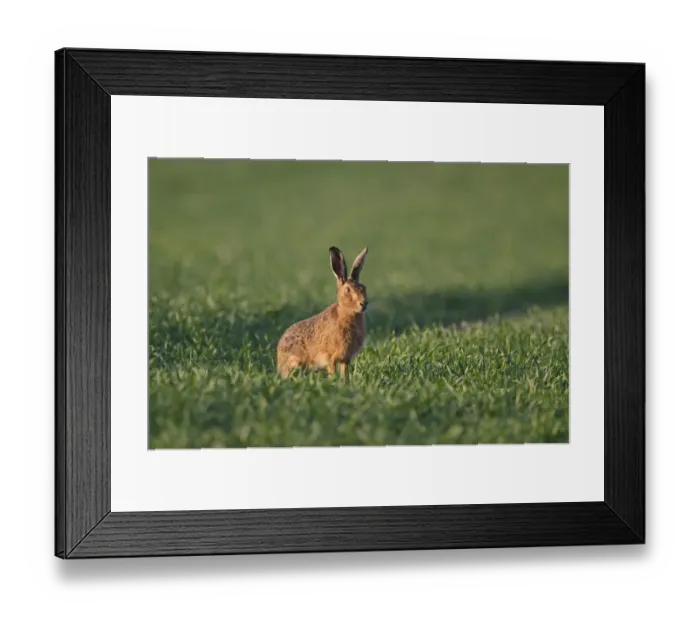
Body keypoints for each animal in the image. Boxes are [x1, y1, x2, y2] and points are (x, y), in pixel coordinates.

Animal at [277, 246, 369, 379]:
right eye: (347, 290)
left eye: (364, 288)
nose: (364, 303)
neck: (347, 313)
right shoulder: (331, 357)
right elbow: (332, 370)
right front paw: (333, 381)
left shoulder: (346, 359)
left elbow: (344, 372)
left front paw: (344, 381)